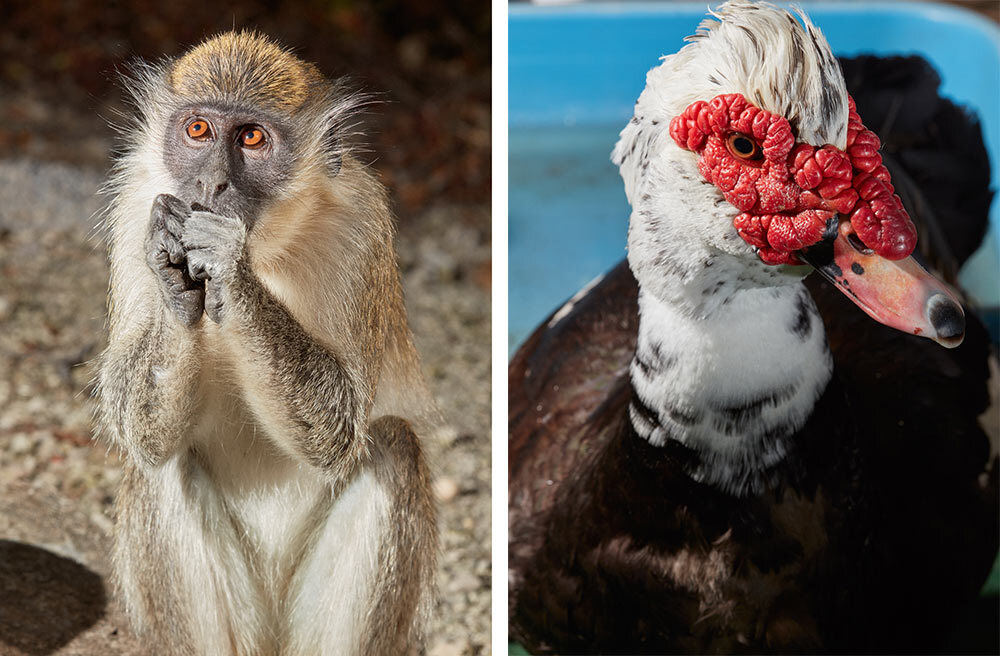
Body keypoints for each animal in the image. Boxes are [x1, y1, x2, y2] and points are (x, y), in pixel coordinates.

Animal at [96, 30, 438, 656]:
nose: (211, 185)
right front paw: (174, 275)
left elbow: (339, 428)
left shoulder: (362, 226)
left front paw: (228, 266)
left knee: (393, 446)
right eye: (198, 129)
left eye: (251, 138)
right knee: (163, 466)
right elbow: (137, 424)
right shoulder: (135, 206)